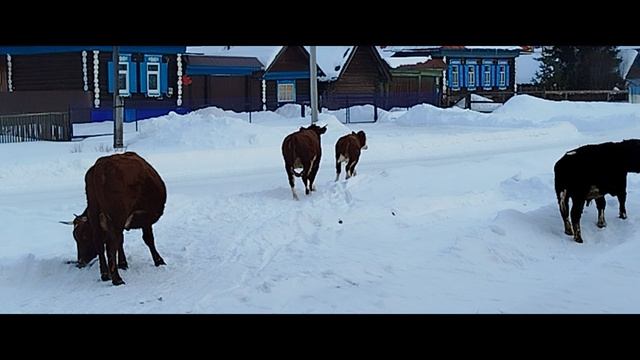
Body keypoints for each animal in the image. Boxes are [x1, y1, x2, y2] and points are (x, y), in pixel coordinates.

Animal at [66, 150, 166, 286]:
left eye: (84, 237)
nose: (80, 262)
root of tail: (100, 166)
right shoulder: (144, 218)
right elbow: (148, 239)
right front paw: (159, 261)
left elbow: (121, 241)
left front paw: (123, 263)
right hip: (117, 216)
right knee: (110, 247)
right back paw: (117, 279)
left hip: (96, 213)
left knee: (100, 243)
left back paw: (105, 274)